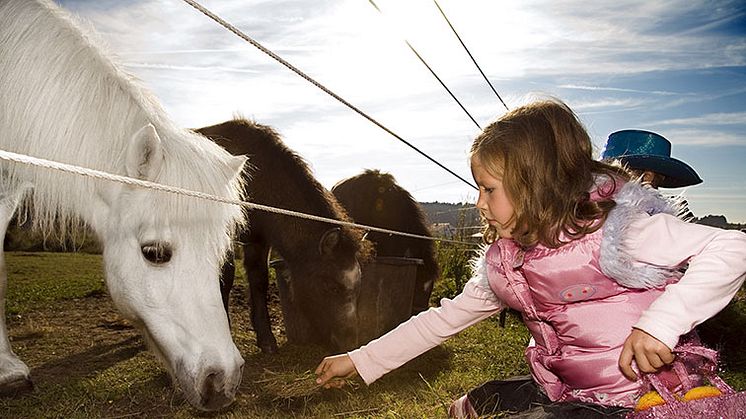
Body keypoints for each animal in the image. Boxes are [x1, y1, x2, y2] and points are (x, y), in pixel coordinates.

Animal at [196, 119, 368, 354]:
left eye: (358, 287)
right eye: (331, 287)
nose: (350, 343)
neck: (256, 180)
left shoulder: (258, 241)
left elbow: (259, 281)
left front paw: (266, 339)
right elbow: (226, 278)